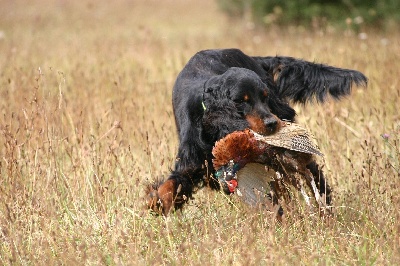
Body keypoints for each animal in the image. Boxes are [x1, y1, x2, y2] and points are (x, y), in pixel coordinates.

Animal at [148, 48, 368, 216]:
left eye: (264, 97)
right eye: (241, 100)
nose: (272, 123)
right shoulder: (191, 163)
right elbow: (170, 185)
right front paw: (156, 202)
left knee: (312, 174)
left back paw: (326, 209)